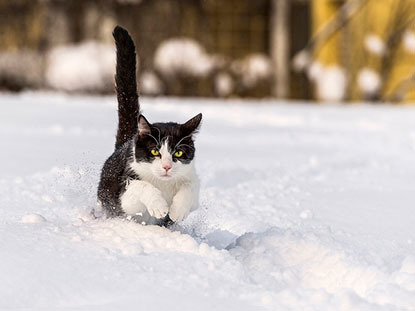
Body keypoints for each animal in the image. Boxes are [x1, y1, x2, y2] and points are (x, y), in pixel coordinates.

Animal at [96, 26, 202, 227]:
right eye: (154, 151)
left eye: (178, 153)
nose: (167, 167)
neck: (164, 184)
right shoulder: (125, 192)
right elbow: (142, 186)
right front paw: (159, 207)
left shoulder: (192, 177)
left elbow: (189, 188)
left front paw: (177, 211)